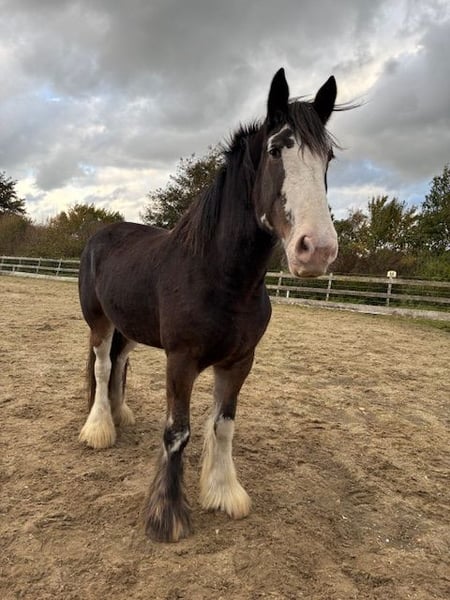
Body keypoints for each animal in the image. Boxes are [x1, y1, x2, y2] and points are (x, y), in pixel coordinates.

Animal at [78, 68, 340, 542]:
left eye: (327, 158)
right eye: (276, 150)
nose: (317, 250)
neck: (221, 278)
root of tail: (102, 233)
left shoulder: (239, 361)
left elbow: (223, 425)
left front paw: (223, 492)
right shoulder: (180, 361)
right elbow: (177, 432)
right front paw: (167, 516)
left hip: (131, 327)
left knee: (120, 363)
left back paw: (120, 414)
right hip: (100, 322)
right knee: (103, 366)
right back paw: (99, 428)